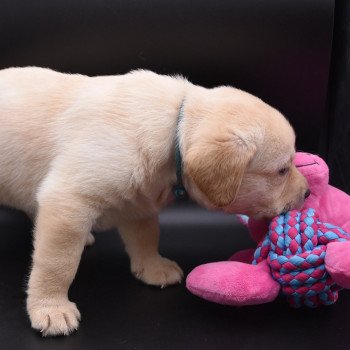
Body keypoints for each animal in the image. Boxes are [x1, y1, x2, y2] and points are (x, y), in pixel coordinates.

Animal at [0, 67, 306, 334]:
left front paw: (153, 267)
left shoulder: (139, 202)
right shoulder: (68, 199)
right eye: (282, 170)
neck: (174, 131)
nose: (307, 193)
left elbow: (146, 237)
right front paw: (50, 307)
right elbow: (57, 263)